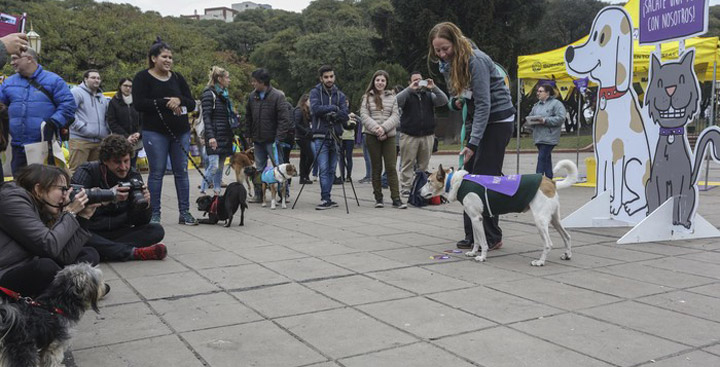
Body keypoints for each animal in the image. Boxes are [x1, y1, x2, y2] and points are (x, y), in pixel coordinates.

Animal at [422, 160, 580, 266]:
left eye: (429, 181)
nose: (418, 191)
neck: (458, 182)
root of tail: (551, 182)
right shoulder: (473, 219)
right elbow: (476, 240)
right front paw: (473, 252)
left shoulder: (477, 219)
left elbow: (483, 242)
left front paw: (482, 257)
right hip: (554, 219)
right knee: (567, 236)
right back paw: (568, 255)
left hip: (540, 221)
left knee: (548, 243)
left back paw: (540, 261)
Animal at [568, 5, 652, 218]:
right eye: (591, 34)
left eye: (601, 37)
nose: (569, 52)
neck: (610, 94)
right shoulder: (602, 152)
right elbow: (602, 181)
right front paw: (600, 199)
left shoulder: (618, 154)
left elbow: (616, 182)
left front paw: (614, 207)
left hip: (632, 166)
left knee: (644, 197)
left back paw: (631, 206)